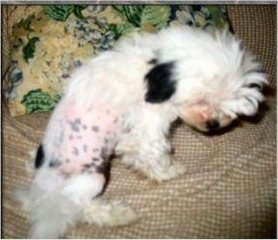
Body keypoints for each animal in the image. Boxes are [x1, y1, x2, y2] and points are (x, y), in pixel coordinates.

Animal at [14, 25, 268, 238]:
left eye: (227, 107)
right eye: (200, 100)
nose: (214, 124)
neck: (150, 65)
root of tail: (41, 198)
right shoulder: (145, 130)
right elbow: (153, 155)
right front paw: (168, 171)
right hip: (92, 178)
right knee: (80, 206)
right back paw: (116, 214)